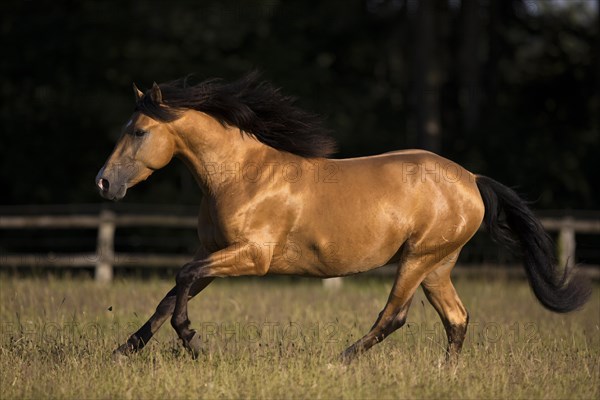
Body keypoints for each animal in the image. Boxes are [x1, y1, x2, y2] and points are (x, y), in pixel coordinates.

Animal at [96, 73, 588, 364]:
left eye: (138, 132)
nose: (103, 182)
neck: (242, 175)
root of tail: (471, 178)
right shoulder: (215, 252)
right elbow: (169, 295)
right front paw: (123, 350)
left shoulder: (251, 256)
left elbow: (180, 280)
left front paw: (194, 341)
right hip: (438, 265)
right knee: (457, 318)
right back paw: (446, 374)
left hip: (418, 259)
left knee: (394, 316)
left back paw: (340, 360)